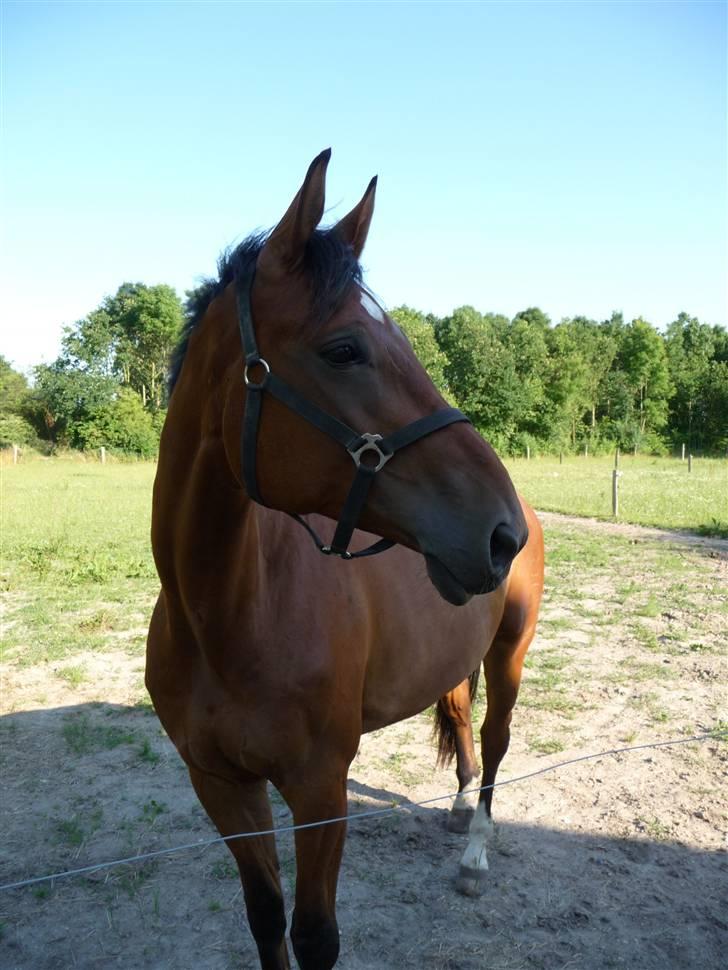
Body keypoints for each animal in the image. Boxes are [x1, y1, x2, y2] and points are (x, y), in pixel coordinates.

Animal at [148, 151, 544, 968]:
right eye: (343, 349)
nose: (503, 533)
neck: (224, 616)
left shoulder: (321, 790)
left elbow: (316, 936)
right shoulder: (222, 786)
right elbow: (266, 918)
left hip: (509, 653)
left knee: (494, 742)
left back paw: (476, 851)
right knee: (461, 721)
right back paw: (458, 809)